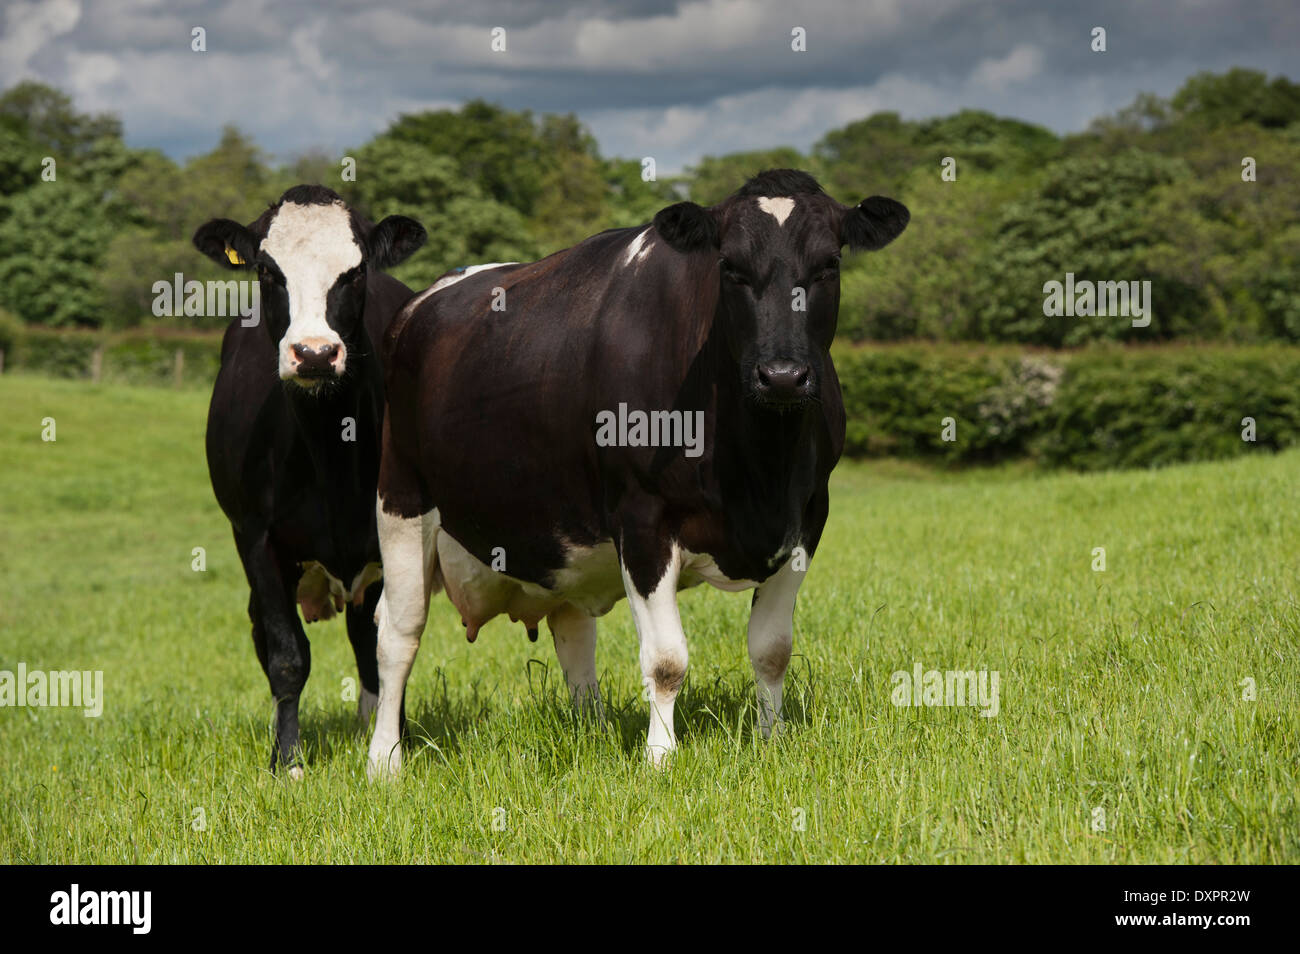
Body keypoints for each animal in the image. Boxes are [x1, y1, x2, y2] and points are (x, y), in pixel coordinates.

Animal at [192, 184, 426, 779]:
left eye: (355, 271)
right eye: (267, 271)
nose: (315, 353)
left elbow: (390, 641)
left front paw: (392, 745)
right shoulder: (254, 538)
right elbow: (286, 655)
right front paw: (288, 762)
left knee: (365, 638)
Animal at [366, 167, 904, 779]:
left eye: (829, 264)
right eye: (729, 266)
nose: (783, 375)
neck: (758, 466)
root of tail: (419, 302)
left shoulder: (807, 518)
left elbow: (772, 650)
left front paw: (771, 741)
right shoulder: (644, 519)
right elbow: (667, 659)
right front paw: (659, 758)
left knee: (573, 633)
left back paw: (591, 732)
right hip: (400, 498)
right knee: (397, 632)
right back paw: (384, 761)